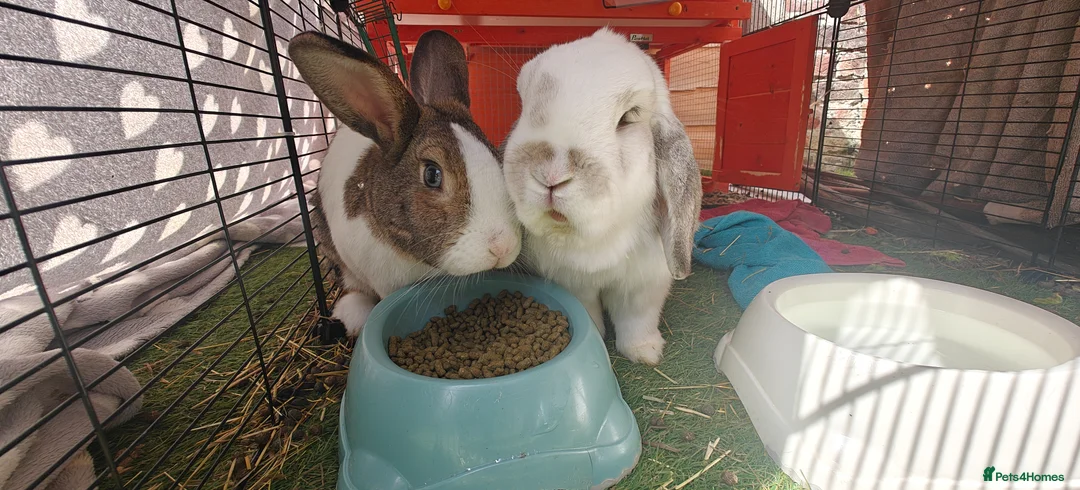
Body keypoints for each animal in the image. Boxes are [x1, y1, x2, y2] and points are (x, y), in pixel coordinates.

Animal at [500, 27, 703, 366]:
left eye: (629, 117)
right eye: (524, 106)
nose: (551, 176)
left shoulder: (644, 286)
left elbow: (637, 320)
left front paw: (645, 353)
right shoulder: (575, 283)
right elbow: (590, 314)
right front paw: (596, 340)